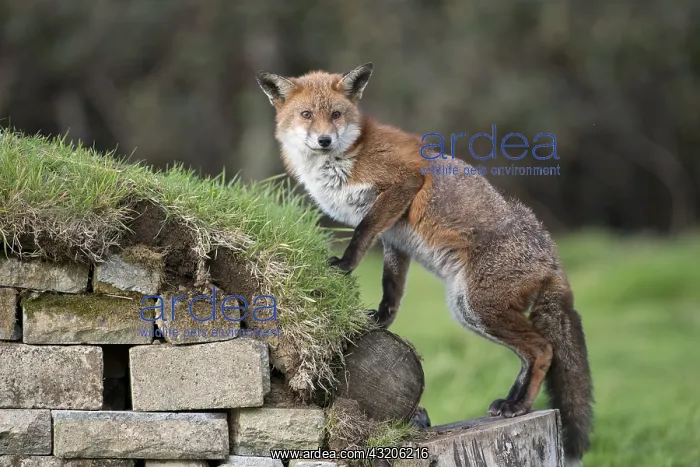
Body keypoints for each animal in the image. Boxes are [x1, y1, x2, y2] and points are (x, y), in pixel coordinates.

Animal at [256, 63, 593, 466]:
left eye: (335, 115)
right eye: (307, 114)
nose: (324, 140)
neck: (344, 158)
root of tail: (552, 256)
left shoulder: (402, 184)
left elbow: (361, 234)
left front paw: (344, 265)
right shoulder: (394, 237)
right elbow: (392, 287)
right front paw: (380, 320)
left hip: (481, 307)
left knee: (543, 350)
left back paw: (521, 406)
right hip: (469, 311)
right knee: (529, 354)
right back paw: (510, 401)